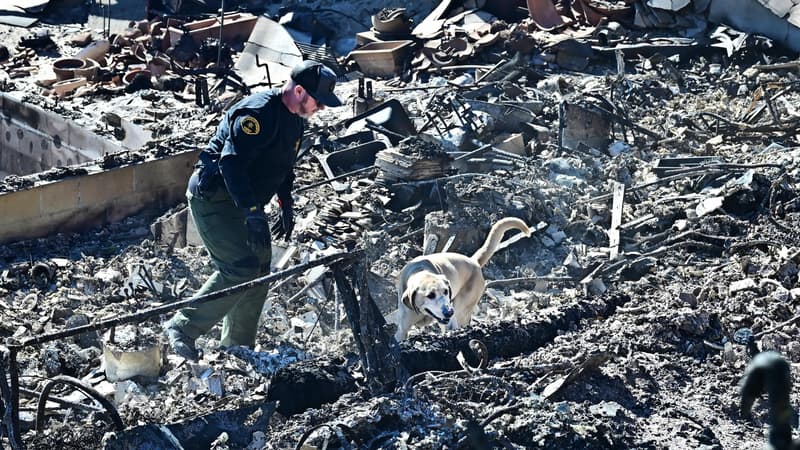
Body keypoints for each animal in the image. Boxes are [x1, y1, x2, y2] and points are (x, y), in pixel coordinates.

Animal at [396, 218, 532, 342]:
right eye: (430, 295)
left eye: (446, 291)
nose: (449, 312)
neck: (419, 271)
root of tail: (473, 261)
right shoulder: (402, 330)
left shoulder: (450, 322)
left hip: (462, 309)